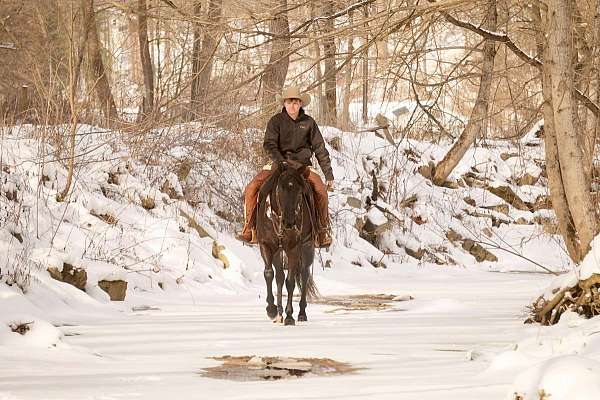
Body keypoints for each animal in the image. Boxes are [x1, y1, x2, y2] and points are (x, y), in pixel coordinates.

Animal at [256, 164, 318, 326]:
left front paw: (289, 316)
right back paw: (279, 313)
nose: (289, 222)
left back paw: (301, 313)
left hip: (307, 248)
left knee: (304, 274)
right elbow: (269, 274)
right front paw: (271, 310)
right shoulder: (266, 245)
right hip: (278, 251)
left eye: (300, 191)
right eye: (280, 188)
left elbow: (290, 282)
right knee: (279, 275)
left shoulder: (293, 248)